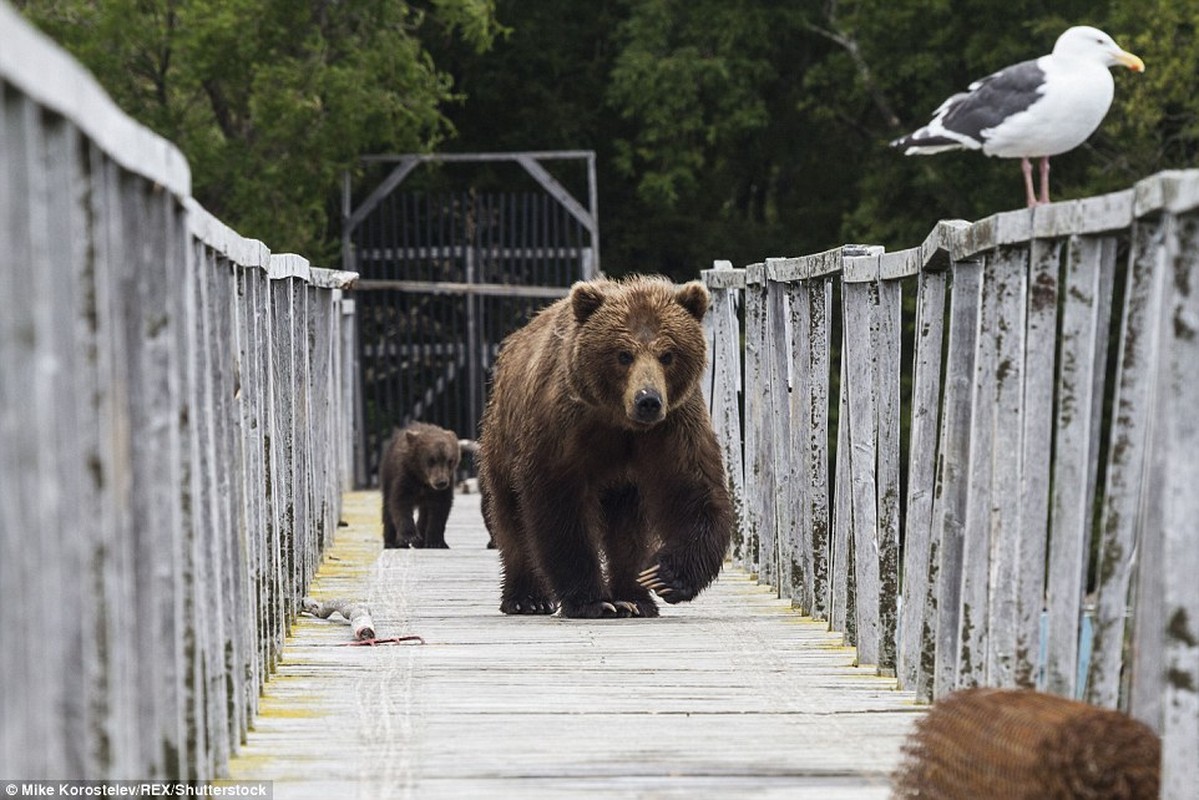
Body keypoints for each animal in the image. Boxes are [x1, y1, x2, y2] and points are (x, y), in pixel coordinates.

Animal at [477, 275, 728, 618]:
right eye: (623, 354)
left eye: (668, 354)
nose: (648, 400)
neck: (620, 422)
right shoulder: (564, 427)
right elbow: (559, 505)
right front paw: (591, 600)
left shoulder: (673, 426)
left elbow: (693, 489)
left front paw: (664, 576)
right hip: (503, 438)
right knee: (511, 518)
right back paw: (527, 598)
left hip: (623, 485)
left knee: (628, 530)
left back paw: (635, 598)